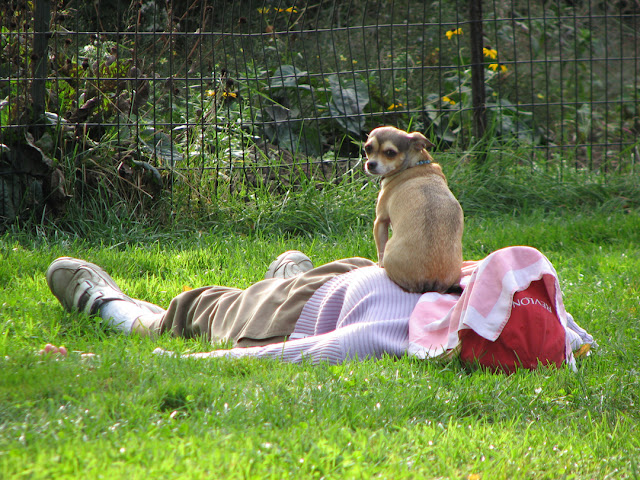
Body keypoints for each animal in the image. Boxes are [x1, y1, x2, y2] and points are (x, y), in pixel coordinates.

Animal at [362, 125, 462, 294]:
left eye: (390, 153)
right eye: (368, 148)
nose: (371, 164)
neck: (416, 164)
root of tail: (430, 284)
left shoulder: (380, 221)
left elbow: (379, 248)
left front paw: (378, 264)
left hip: (390, 252)